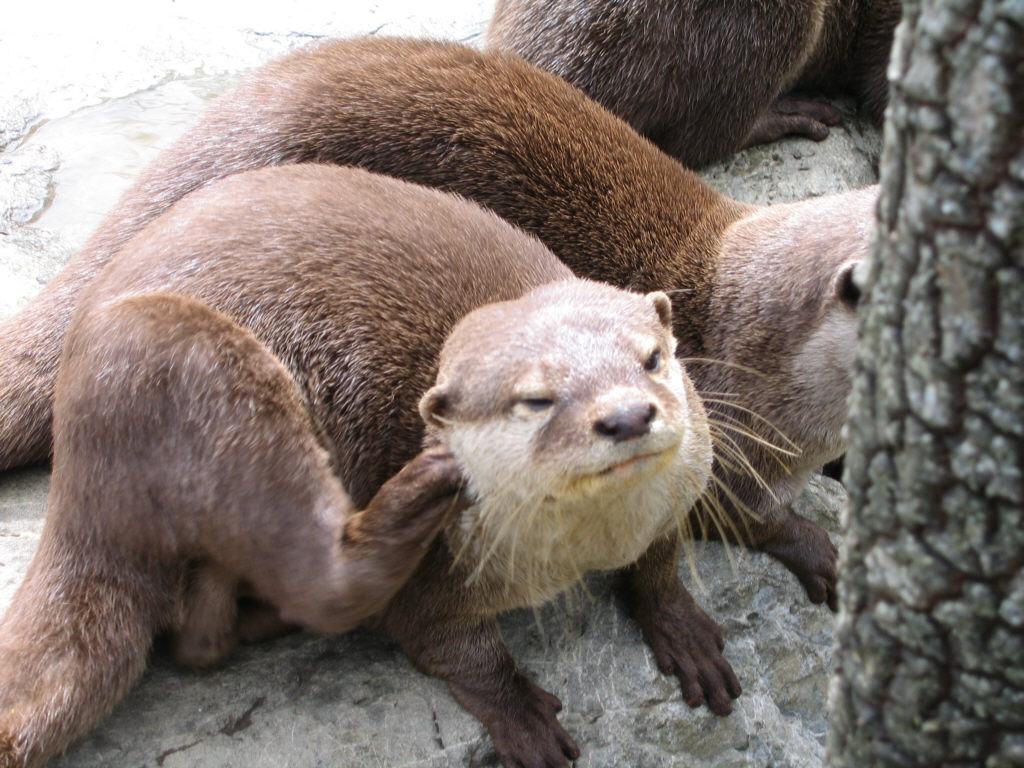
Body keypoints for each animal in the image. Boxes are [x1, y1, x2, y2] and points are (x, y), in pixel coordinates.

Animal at [0, 165, 718, 768]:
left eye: (653, 359)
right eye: (536, 399)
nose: (626, 416)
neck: (597, 543)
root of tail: (74, 468)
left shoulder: (677, 498)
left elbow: (661, 563)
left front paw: (685, 629)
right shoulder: (439, 583)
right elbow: (449, 644)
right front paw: (519, 710)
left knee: (199, 637)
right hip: (190, 362)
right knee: (320, 578)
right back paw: (416, 494)